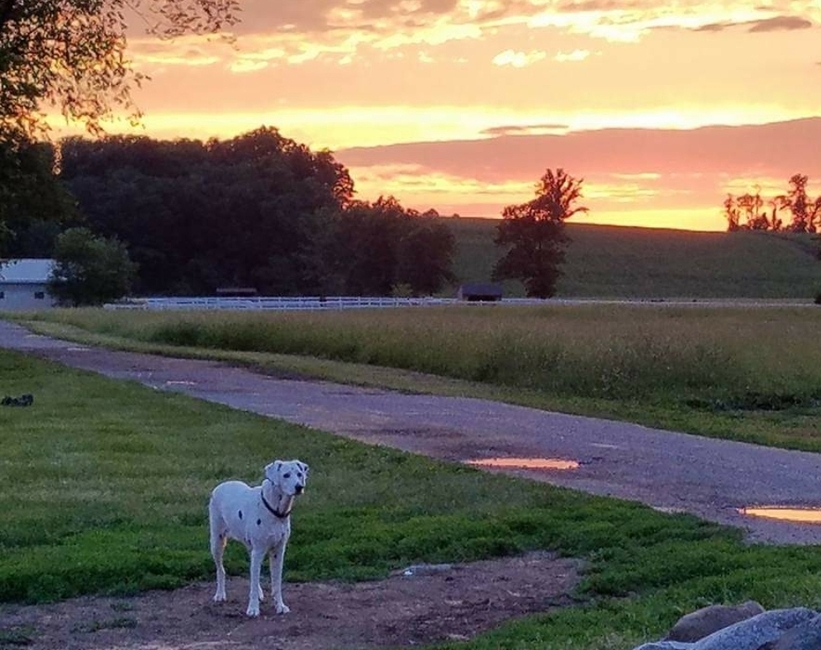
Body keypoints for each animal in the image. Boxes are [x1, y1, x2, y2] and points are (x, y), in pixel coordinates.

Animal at [207, 458, 310, 616]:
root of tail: (221, 485)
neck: (276, 510)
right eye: (286, 475)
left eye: (299, 474)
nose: (299, 487)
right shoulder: (259, 551)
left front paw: (280, 605)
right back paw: (220, 594)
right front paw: (253, 608)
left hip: (250, 547)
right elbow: (254, 582)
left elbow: (276, 582)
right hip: (217, 543)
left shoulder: (278, 552)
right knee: (221, 569)